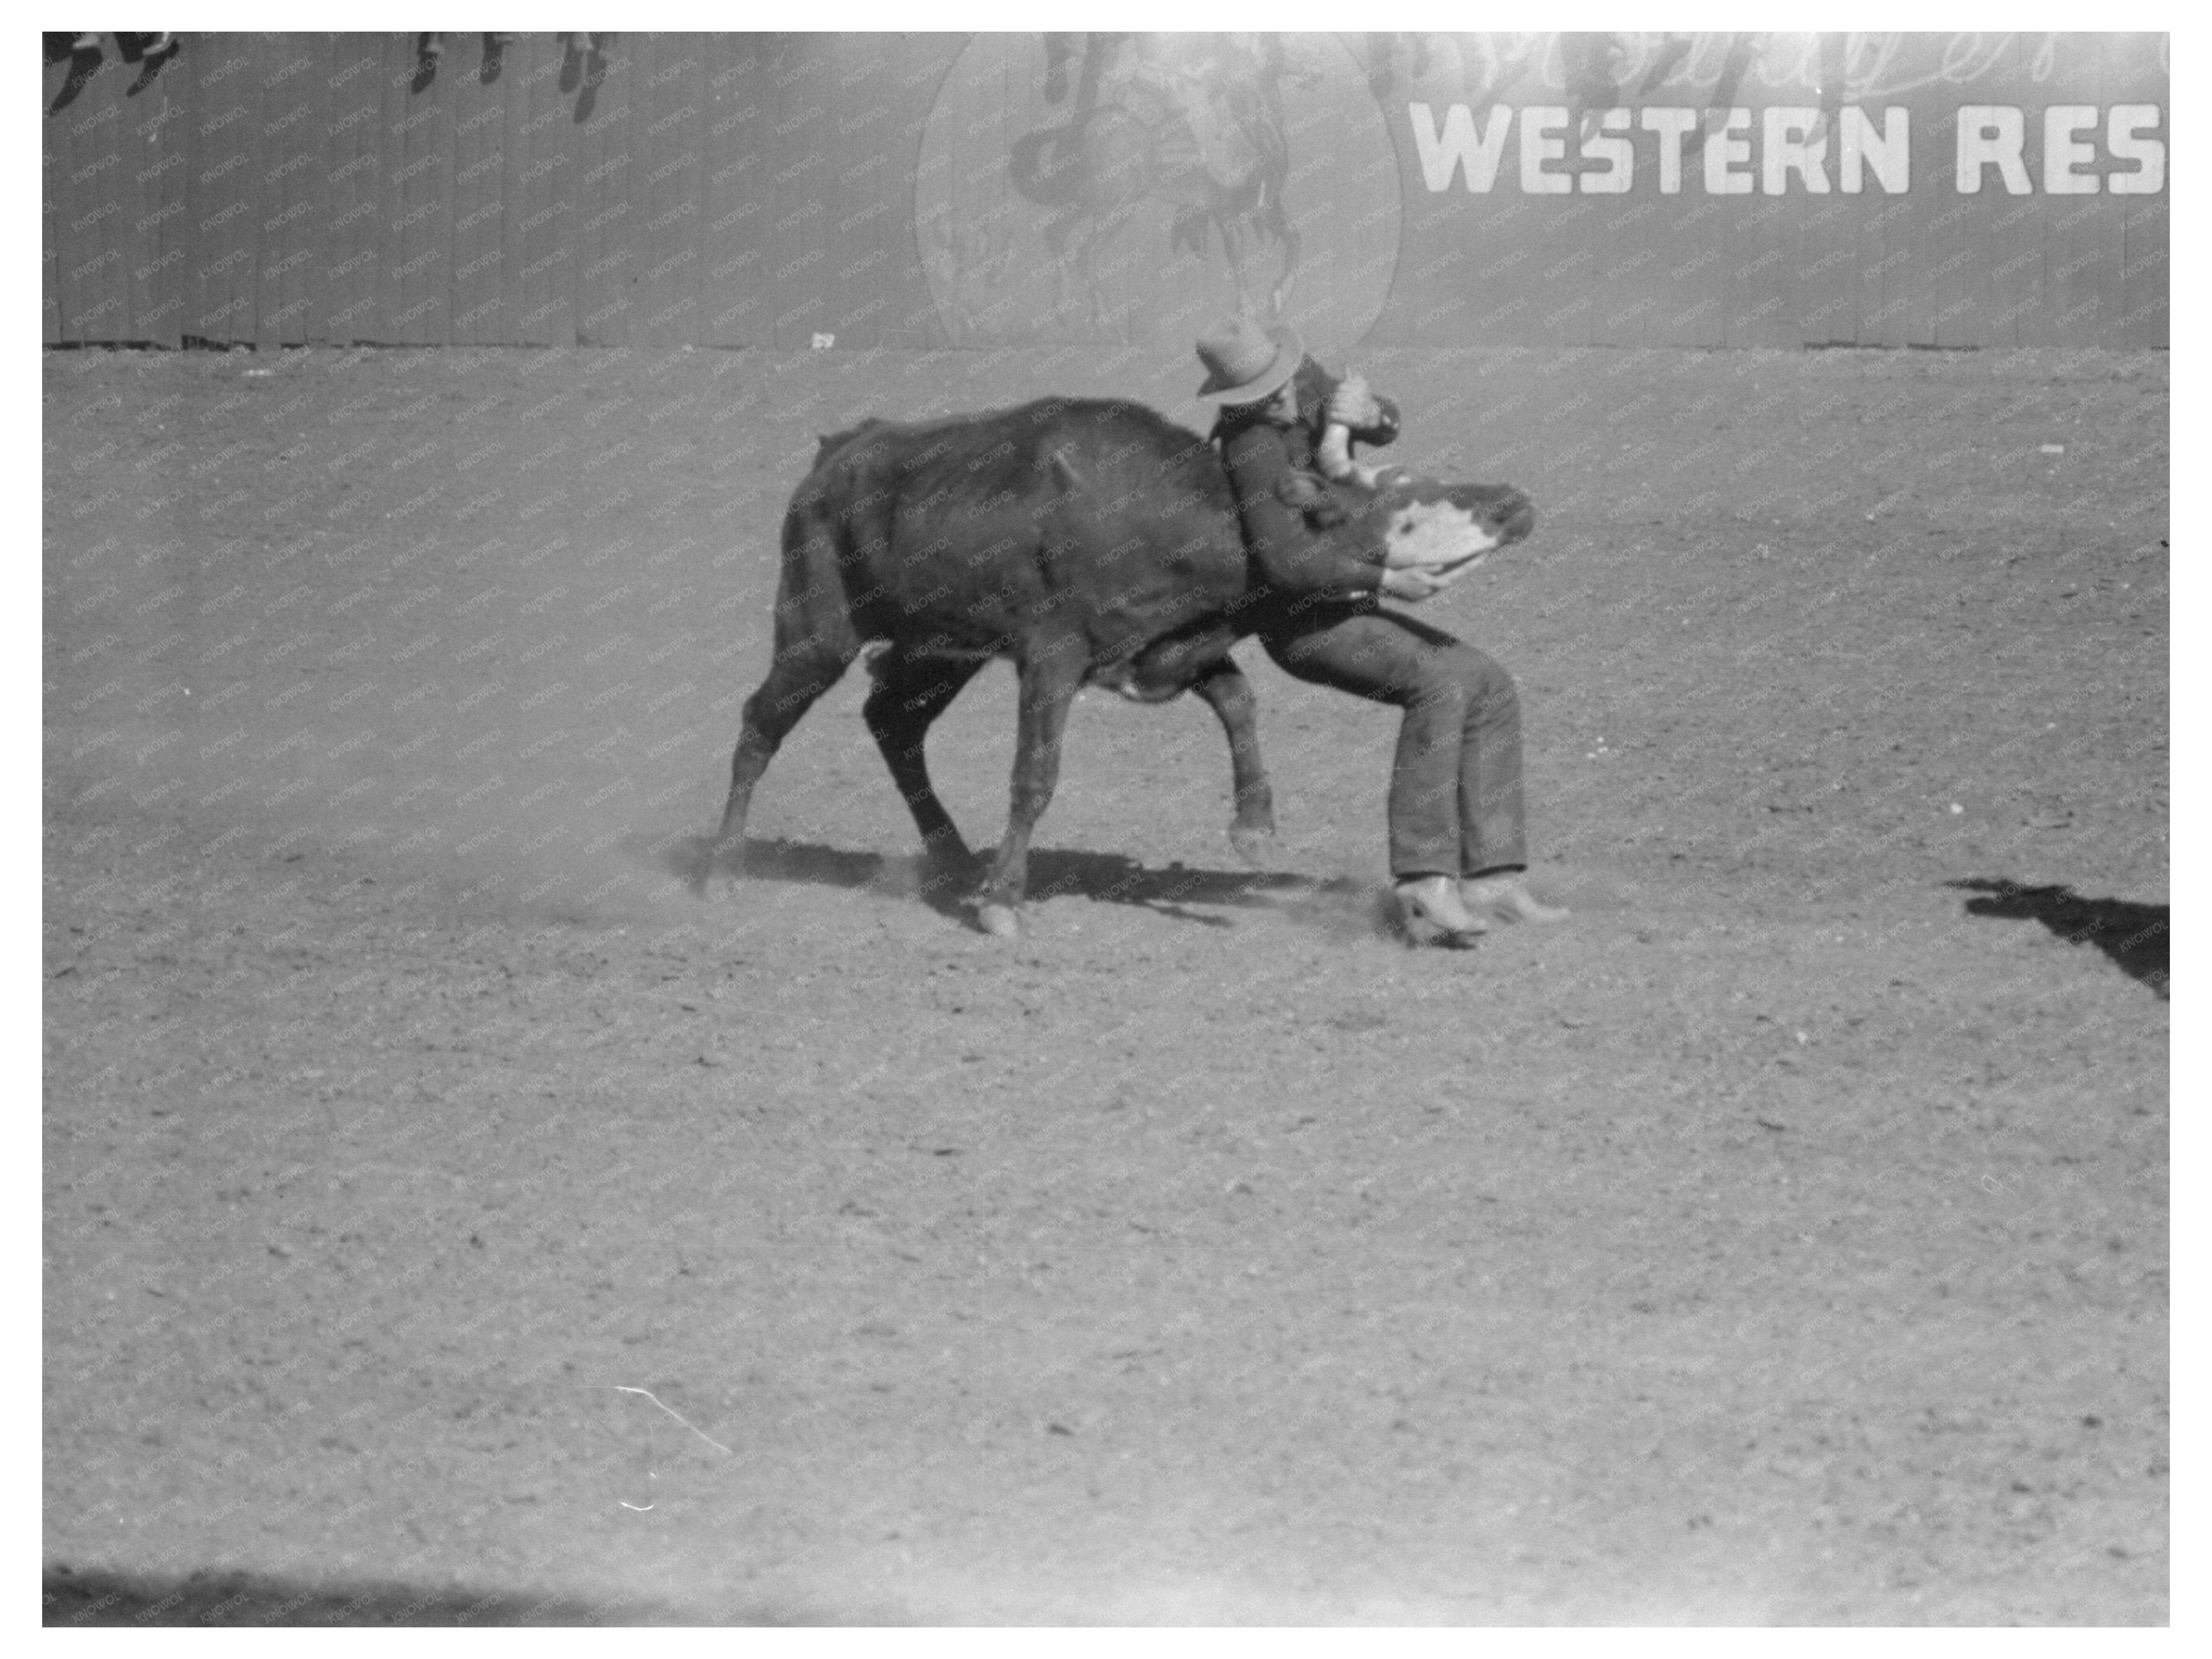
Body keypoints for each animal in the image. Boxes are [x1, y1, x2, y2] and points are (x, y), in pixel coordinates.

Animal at [708, 397, 1534, 937]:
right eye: (1405, 501)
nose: (1512, 501)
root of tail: (836, 454)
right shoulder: (1051, 656)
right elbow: (1035, 775)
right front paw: (1005, 903)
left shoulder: (1172, 646)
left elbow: (1236, 699)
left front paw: (1254, 827)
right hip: (817, 631)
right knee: (763, 719)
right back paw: (724, 865)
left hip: (937, 650)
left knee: (892, 721)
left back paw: (952, 857)